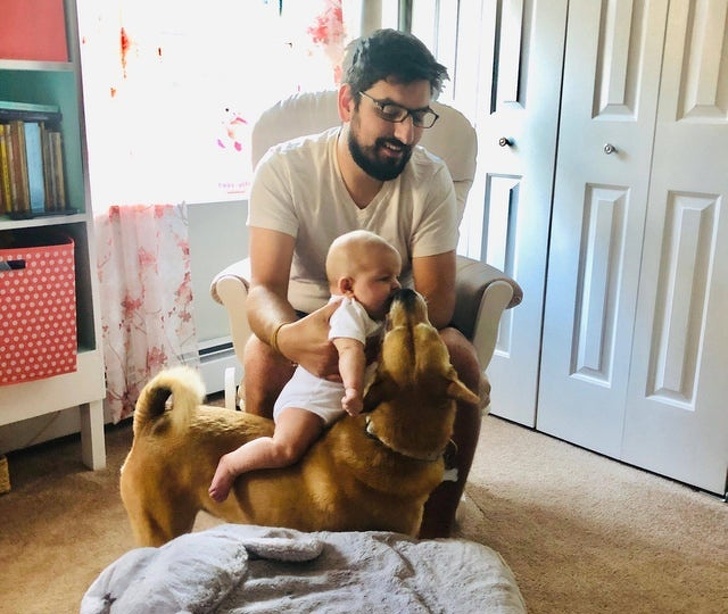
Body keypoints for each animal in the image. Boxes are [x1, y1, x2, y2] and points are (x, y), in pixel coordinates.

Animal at [120, 288, 480, 546]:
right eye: (404, 331)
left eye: (422, 329)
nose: (403, 291)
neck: (386, 443)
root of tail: (150, 423)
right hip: (161, 530)